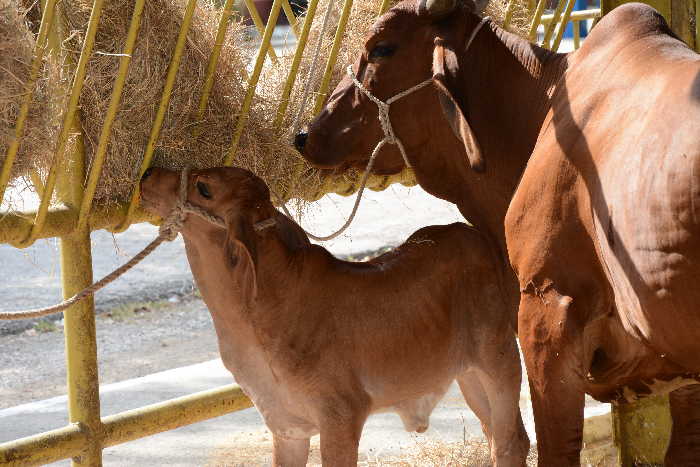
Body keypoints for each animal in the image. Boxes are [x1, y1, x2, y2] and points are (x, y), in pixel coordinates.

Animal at [139, 166, 528, 466]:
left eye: (204, 188)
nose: (148, 173)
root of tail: (474, 234)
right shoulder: (287, 427)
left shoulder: (341, 416)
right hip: (468, 374)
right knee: (497, 436)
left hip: (499, 358)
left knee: (512, 441)